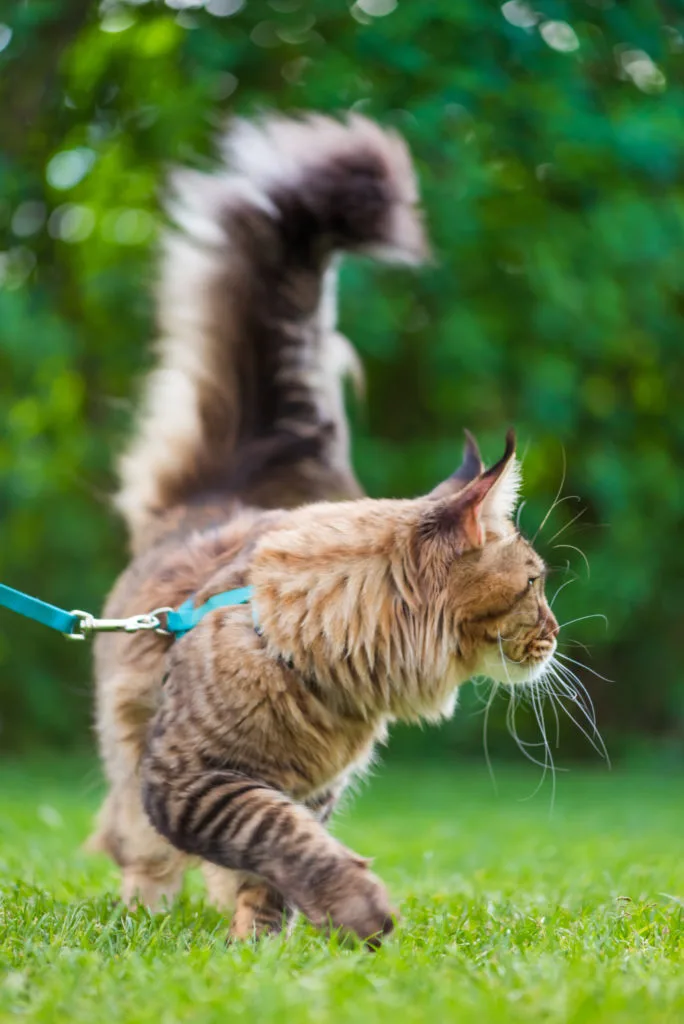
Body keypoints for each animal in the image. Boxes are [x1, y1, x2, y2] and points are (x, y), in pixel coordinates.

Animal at [89, 112, 561, 942]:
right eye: (535, 583)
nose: (558, 633)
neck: (328, 676)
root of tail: (226, 491)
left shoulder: (313, 790)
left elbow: (270, 868)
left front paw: (262, 944)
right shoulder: (186, 781)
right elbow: (272, 830)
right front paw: (351, 907)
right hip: (132, 772)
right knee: (138, 854)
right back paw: (144, 915)